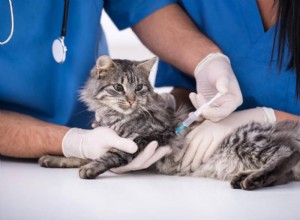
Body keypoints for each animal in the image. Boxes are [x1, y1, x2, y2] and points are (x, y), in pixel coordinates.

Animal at [39, 55, 300, 191]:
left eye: (139, 87)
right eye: (118, 87)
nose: (131, 100)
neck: (115, 118)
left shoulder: (151, 136)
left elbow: (112, 154)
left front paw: (91, 168)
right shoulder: (105, 138)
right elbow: (82, 153)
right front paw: (56, 158)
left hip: (246, 140)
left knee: (288, 153)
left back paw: (253, 179)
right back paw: (245, 177)